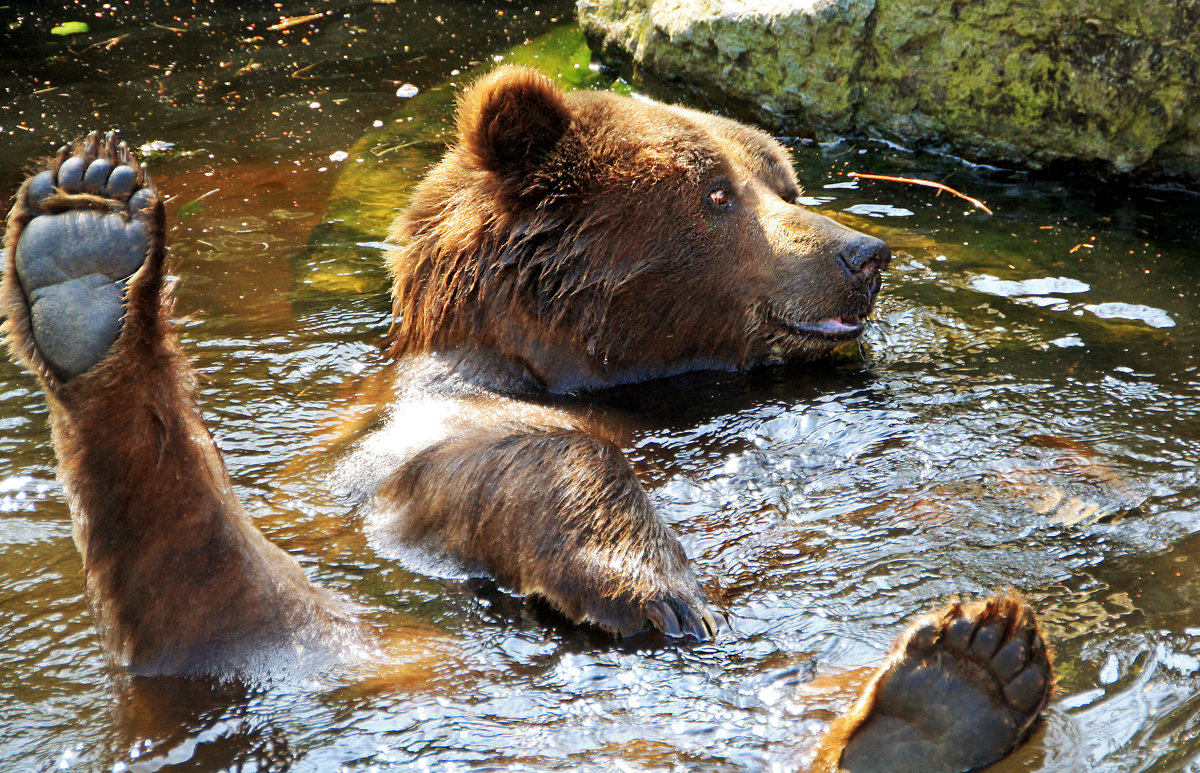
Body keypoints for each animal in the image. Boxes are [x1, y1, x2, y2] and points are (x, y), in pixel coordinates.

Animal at [2, 67, 1051, 773]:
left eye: (781, 180)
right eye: (715, 192)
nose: (860, 252)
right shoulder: (424, 420)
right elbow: (518, 458)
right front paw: (650, 585)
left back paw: (956, 685)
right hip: (348, 642)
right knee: (214, 584)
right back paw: (88, 251)